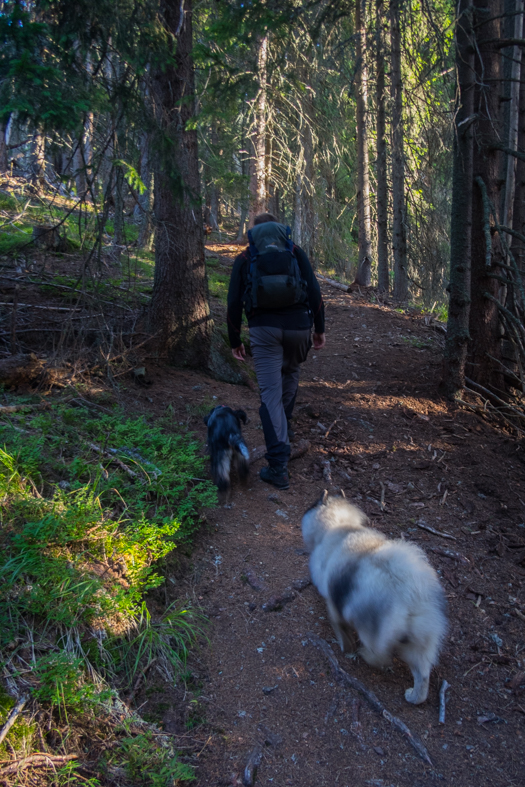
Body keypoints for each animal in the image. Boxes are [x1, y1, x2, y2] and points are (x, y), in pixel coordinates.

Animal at [302, 496, 446, 704]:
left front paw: (346, 647)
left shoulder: (334, 603)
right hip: (419, 645)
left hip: (372, 631)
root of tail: (410, 595)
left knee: (380, 657)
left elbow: (339, 627)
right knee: (423, 676)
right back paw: (413, 696)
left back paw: (365, 654)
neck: (335, 526)